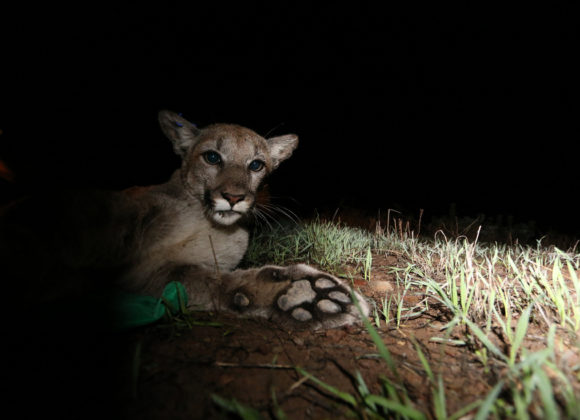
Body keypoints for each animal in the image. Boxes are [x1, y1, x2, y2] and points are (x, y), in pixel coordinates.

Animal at [0, 110, 370, 328]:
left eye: (256, 165)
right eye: (212, 157)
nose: (233, 197)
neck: (205, 221)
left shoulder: (154, 271)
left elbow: (205, 279)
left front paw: (303, 295)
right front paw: (304, 292)